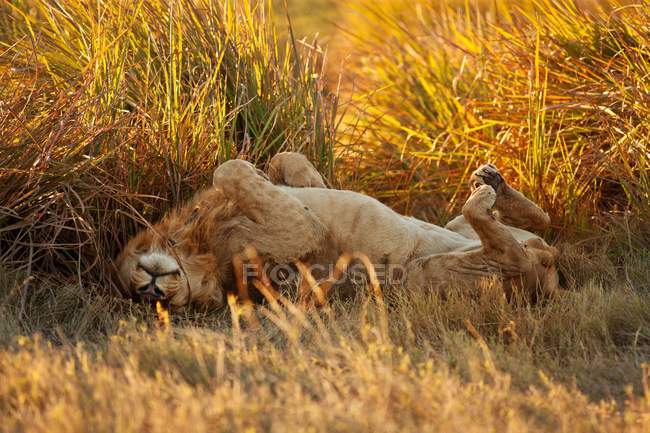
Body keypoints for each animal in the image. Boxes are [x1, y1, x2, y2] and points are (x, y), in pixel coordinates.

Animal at [115, 152, 556, 308]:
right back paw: (484, 194)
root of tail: (549, 275)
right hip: (434, 271)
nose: (151, 289)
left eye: (134, 274)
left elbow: (281, 160)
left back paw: (493, 181)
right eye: (139, 295)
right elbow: (229, 167)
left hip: (459, 228)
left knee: (542, 223)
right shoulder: (301, 231)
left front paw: (305, 176)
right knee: (505, 246)